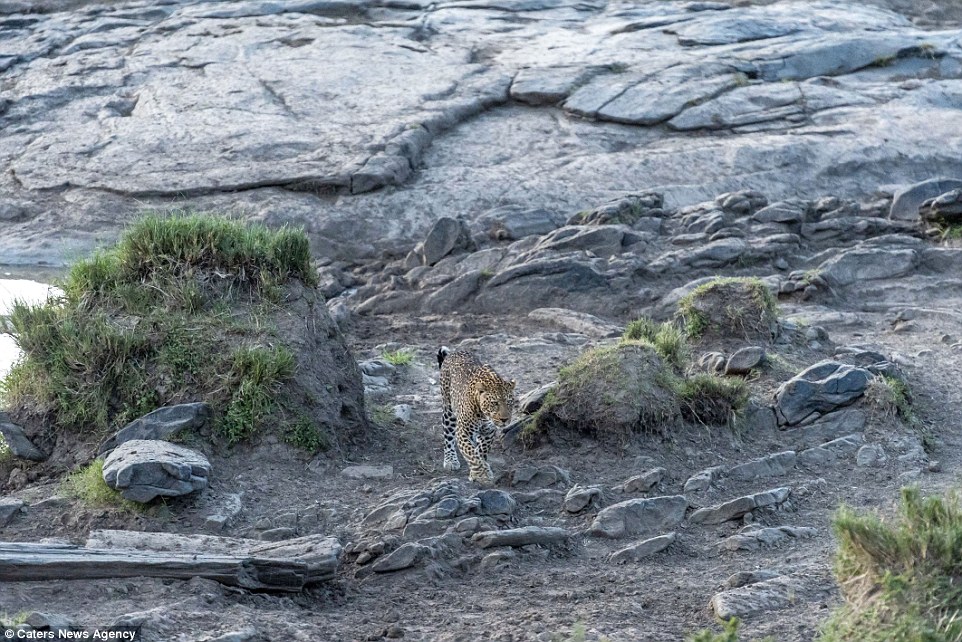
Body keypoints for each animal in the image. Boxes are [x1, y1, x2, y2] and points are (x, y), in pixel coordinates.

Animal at [436, 344, 516, 480]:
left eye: (509, 403)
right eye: (494, 403)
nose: (504, 420)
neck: (484, 416)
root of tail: (454, 353)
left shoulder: (489, 432)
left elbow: (481, 451)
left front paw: (482, 469)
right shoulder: (463, 431)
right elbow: (470, 452)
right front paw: (479, 473)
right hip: (448, 411)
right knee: (448, 436)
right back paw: (450, 460)